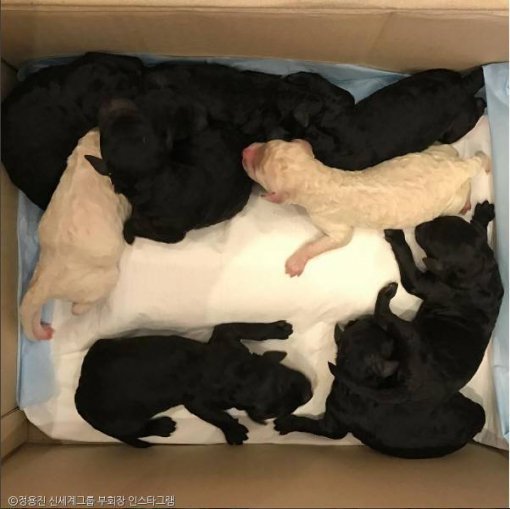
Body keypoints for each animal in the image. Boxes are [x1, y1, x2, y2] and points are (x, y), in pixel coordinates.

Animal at [75, 321, 313, 447]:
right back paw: (163, 427)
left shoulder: (226, 334)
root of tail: (79, 394)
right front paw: (234, 431)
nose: (309, 394)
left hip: (101, 346)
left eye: (284, 380)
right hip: (123, 421)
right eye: (273, 412)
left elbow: (248, 327)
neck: (230, 373)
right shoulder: (197, 402)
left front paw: (278, 329)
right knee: (138, 430)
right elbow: (219, 416)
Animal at [242, 138, 490, 276]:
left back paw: (467, 203)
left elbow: (340, 239)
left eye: (256, 169)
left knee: (462, 195)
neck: (318, 178)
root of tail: (460, 166)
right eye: (265, 144)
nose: (245, 150)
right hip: (436, 154)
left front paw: (297, 261)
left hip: (450, 202)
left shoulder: (330, 220)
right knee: (448, 150)